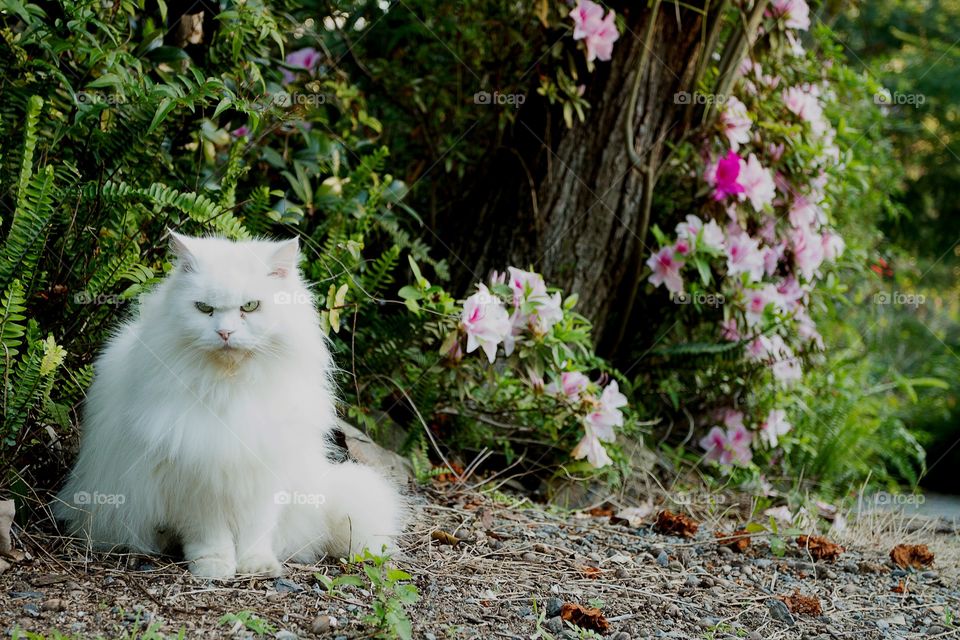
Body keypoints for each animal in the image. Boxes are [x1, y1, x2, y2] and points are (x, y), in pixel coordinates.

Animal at [53, 232, 404, 576]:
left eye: (250, 306)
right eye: (204, 308)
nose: (225, 332)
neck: (231, 387)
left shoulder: (262, 474)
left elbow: (256, 531)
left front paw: (257, 566)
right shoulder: (196, 476)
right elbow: (209, 535)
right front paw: (214, 567)